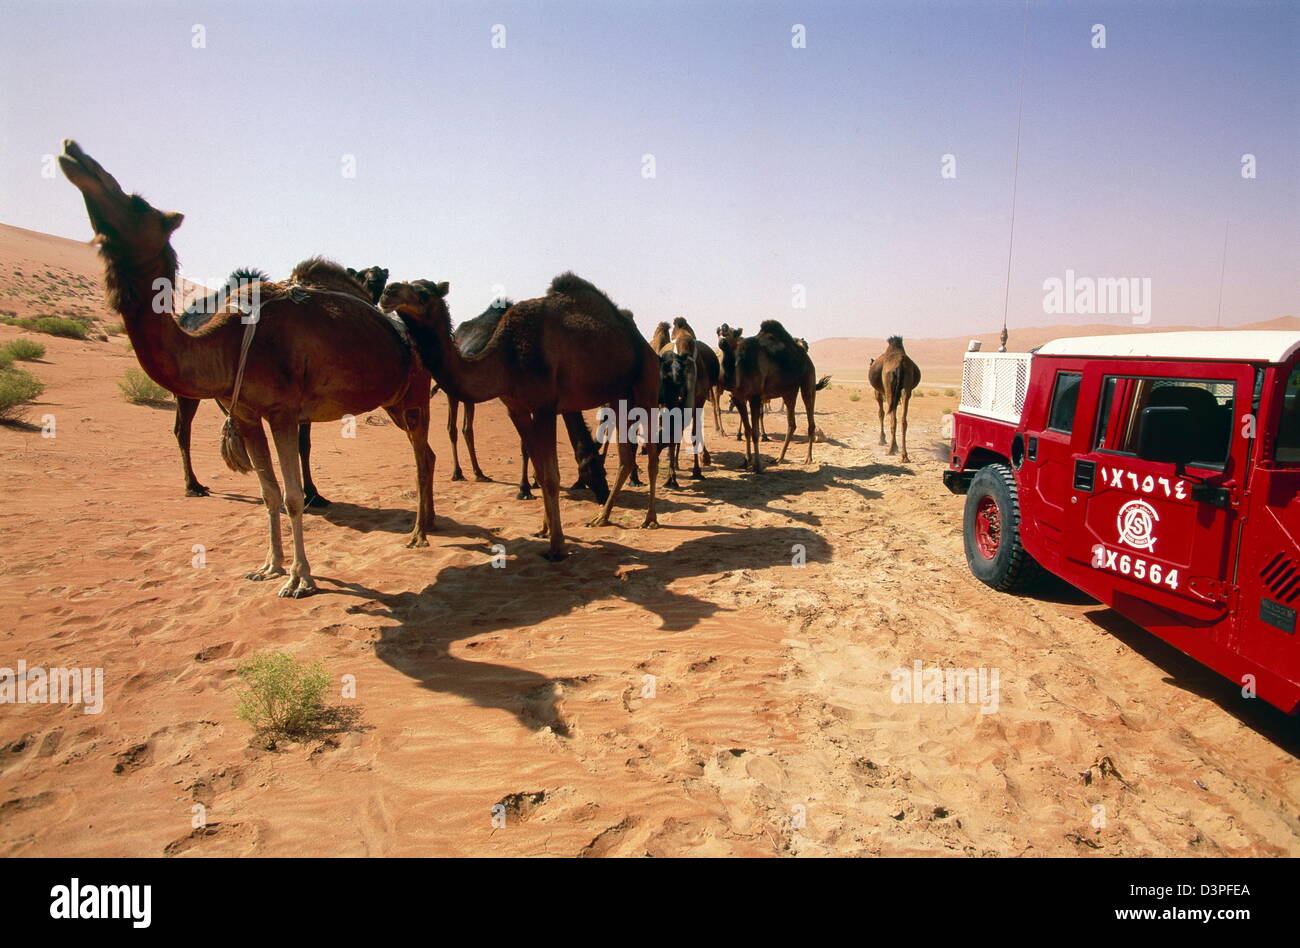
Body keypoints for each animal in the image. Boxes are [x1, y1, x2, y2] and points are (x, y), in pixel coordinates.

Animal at [59, 141, 436, 595]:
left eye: (136, 202)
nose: (73, 152)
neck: (227, 342)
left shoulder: (283, 413)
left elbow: (292, 496)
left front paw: (300, 579)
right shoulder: (245, 414)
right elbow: (269, 492)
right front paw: (269, 566)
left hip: (415, 394)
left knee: (421, 455)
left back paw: (419, 534)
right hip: (394, 402)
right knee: (426, 454)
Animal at [379, 270, 660, 559]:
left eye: (424, 293)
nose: (388, 292)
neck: (506, 356)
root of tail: (647, 347)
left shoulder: (545, 406)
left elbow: (551, 476)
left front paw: (557, 546)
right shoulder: (516, 409)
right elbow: (540, 470)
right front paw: (544, 529)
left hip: (647, 390)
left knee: (651, 454)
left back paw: (649, 519)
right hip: (618, 396)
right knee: (626, 457)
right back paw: (601, 517)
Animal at [717, 321, 816, 473]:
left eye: (732, 332)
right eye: (718, 332)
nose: (723, 330)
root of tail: (806, 357)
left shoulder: (755, 397)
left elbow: (755, 432)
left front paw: (757, 466)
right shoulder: (739, 398)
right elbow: (747, 430)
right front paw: (746, 461)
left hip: (808, 381)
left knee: (810, 420)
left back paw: (808, 458)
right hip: (789, 391)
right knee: (791, 423)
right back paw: (779, 458)